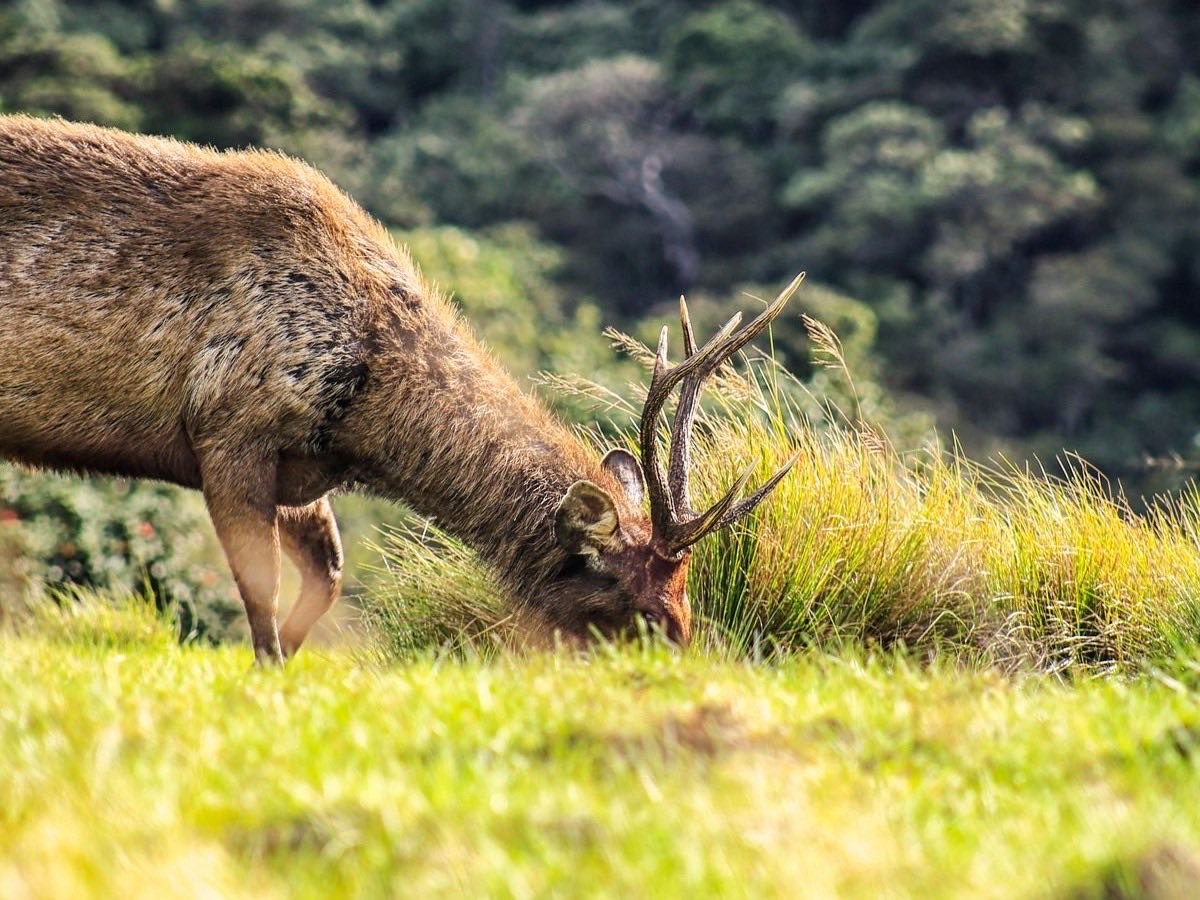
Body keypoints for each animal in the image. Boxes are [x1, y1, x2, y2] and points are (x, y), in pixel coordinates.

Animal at [0, 115, 801, 663]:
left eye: (686, 580)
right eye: (632, 596)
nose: (684, 655)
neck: (364, 414)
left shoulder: (297, 463)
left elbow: (326, 575)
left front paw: (289, 667)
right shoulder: (227, 427)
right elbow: (261, 591)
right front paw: (265, 674)